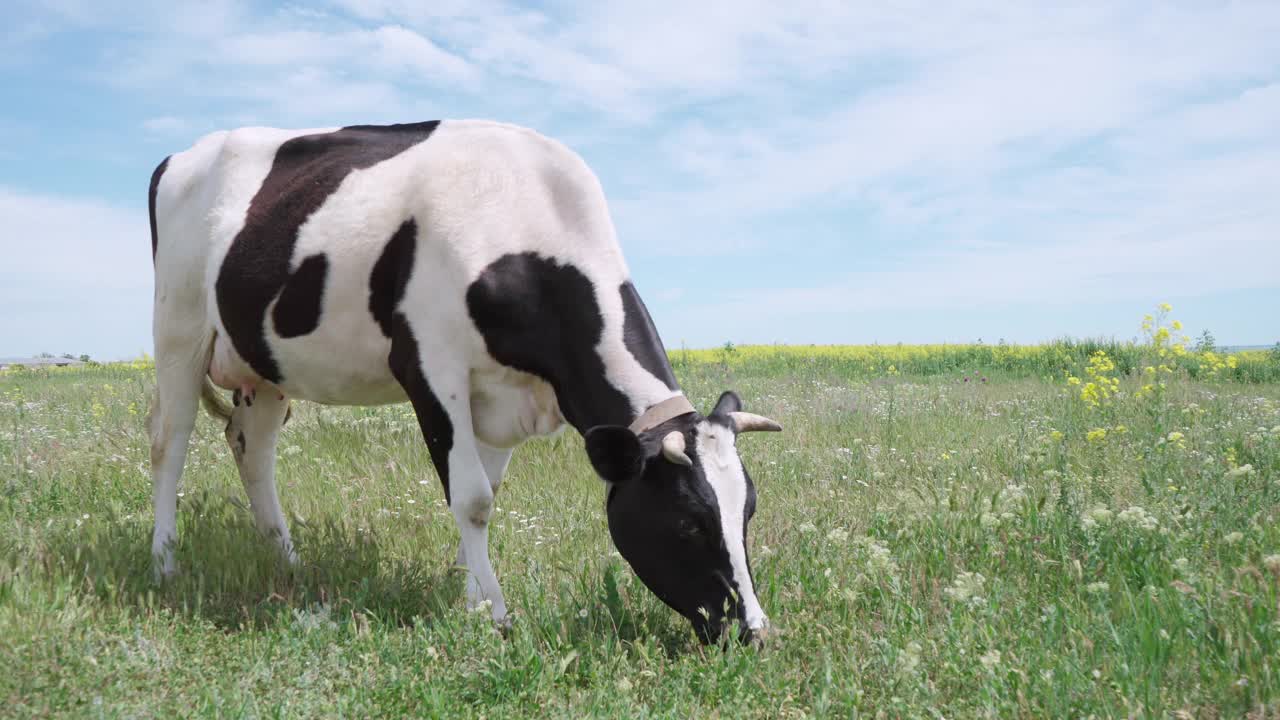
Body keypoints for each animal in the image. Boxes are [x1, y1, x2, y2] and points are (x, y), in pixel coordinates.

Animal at [141, 120, 778, 640]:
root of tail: (180, 155)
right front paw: (493, 612)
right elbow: (471, 497)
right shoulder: (429, 366)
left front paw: (468, 593)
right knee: (170, 441)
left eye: (747, 513)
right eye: (688, 522)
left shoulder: (508, 398)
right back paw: (165, 563)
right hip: (179, 328)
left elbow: (486, 491)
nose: (755, 633)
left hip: (263, 362)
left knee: (251, 447)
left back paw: (286, 559)